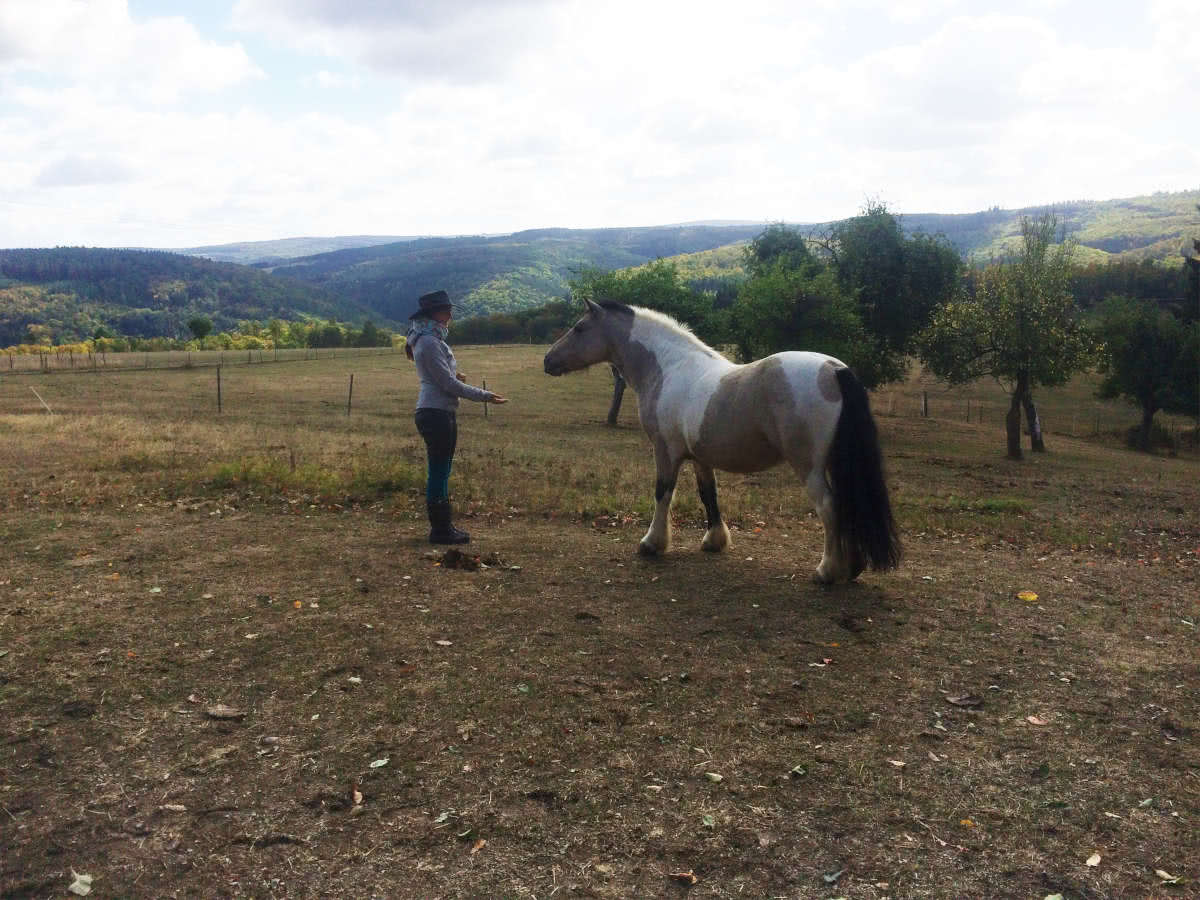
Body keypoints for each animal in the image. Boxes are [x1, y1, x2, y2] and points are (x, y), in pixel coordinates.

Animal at [544, 300, 902, 585]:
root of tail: (835, 369)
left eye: (579, 328)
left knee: (829, 506)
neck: (669, 367)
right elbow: (708, 494)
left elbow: (663, 493)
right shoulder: (700, 456)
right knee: (848, 504)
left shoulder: (665, 450)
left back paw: (827, 571)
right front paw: (714, 541)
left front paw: (651, 543)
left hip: (809, 466)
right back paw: (852, 568)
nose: (548, 360)